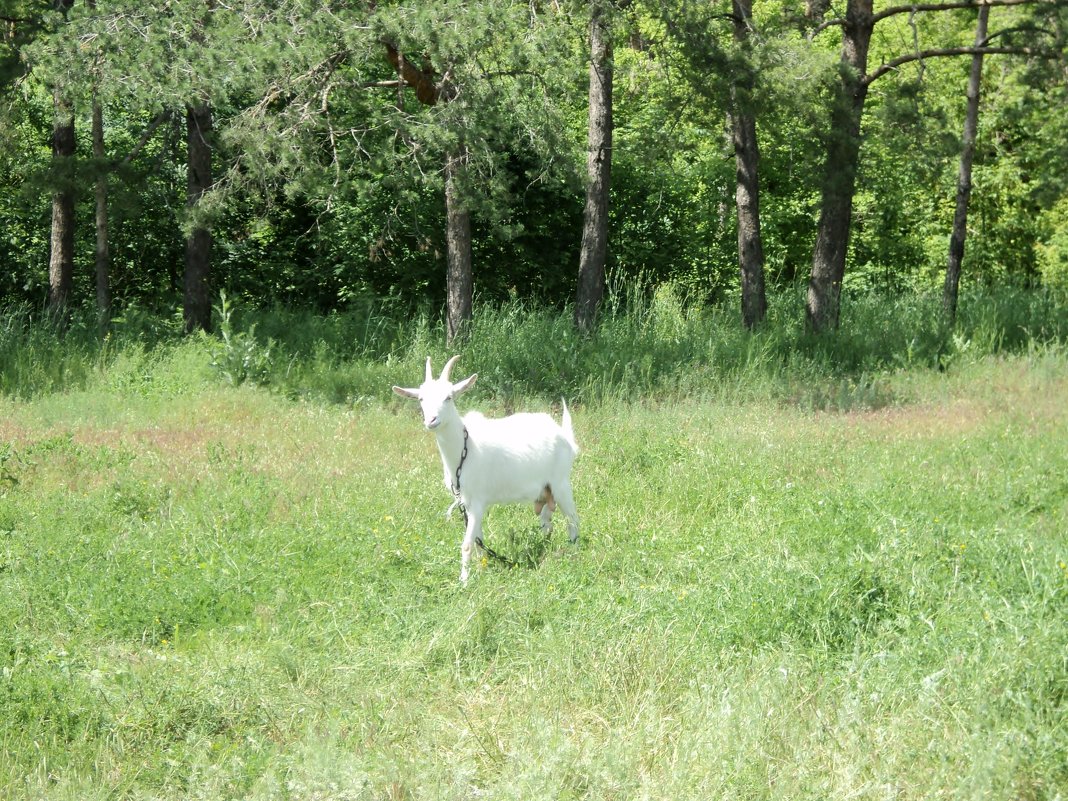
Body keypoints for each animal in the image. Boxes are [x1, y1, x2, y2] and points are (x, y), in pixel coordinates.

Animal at [393, 356, 580, 585]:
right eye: (420, 399)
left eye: (449, 397)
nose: (431, 420)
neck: (465, 450)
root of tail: (565, 436)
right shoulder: (466, 501)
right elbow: (478, 539)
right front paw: (483, 568)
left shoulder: (477, 501)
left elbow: (467, 543)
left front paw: (464, 580)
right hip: (545, 491)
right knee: (547, 522)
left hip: (561, 482)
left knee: (573, 519)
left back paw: (573, 550)